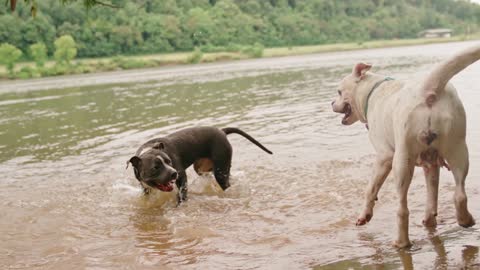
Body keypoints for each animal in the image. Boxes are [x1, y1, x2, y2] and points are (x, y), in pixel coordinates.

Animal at [332, 44, 478, 249]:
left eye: (339, 92)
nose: (331, 103)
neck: (371, 92)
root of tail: (427, 89)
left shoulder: (384, 157)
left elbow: (370, 189)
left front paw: (364, 215)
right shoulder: (430, 162)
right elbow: (432, 193)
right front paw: (430, 219)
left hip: (402, 161)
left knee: (402, 207)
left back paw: (401, 242)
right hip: (458, 147)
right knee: (460, 193)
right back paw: (464, 220)